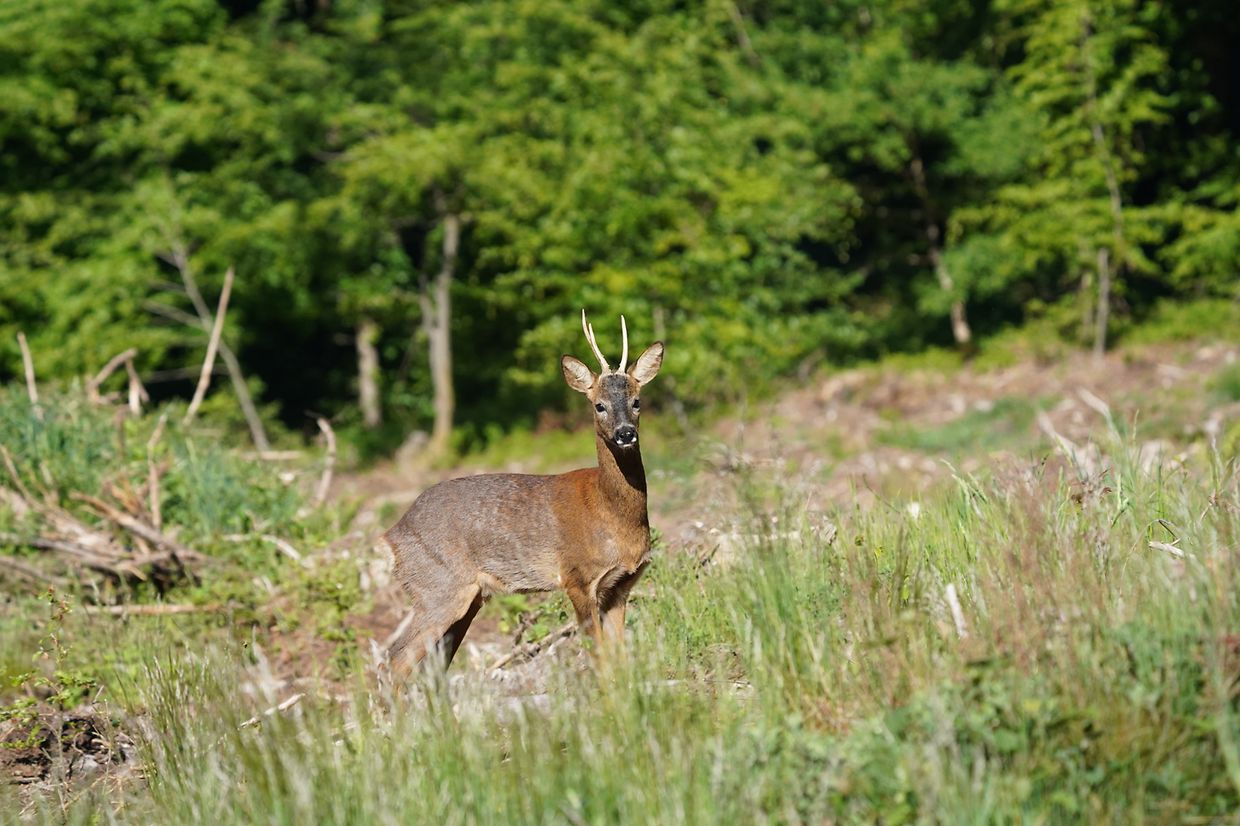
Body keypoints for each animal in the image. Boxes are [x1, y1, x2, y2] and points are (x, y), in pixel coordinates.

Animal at [383, 310, 664, 675]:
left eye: (637, 401)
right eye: (599, 405)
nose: (625, 433)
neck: (612, 515)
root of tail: (391, 536)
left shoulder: (620, 585)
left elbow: (619, 658)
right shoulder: (576, 577)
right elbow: (598, 656)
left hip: (468, 597)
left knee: (435, 661)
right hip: (438, 587)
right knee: (396, 657)